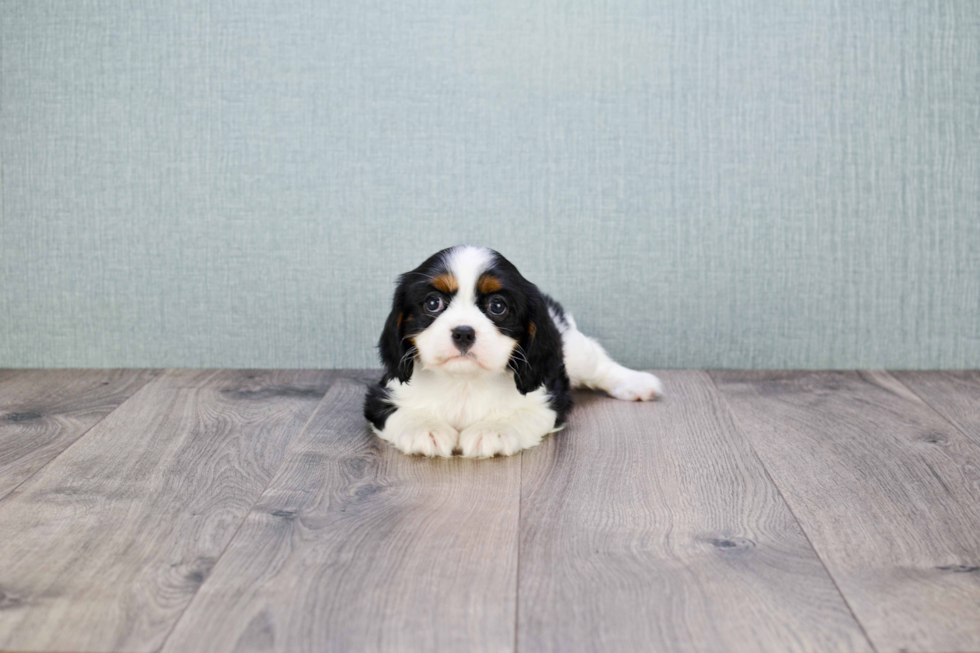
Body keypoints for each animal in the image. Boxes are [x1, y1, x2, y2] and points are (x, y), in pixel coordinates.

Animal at [364, 246, 664, 458]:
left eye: (498, 306)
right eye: (432, 303)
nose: (463, 332)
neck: (464, 382)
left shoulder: (548, 398)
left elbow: (522, 413)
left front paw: (492, 431)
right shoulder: (381, 397)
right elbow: (398, 411)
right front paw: (426, 428)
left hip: (576, 349)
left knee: (600, 365)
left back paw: (637, 383)